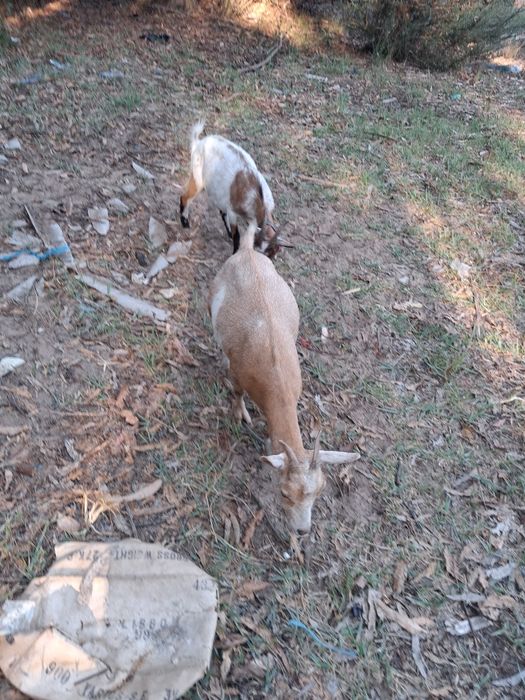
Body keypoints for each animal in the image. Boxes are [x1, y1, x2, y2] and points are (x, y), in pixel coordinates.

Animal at [180, 122, 283, 257]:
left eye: (271, 255)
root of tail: (199, 142)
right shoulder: (233, 212)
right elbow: (237, 235)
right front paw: (235, 252)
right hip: (198, 178)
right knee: (185, 197)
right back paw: (185, 223)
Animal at [209, 236, 358, 534]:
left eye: (319, 491)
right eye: (284, 493)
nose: (302, 530)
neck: (275, 382)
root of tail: (246, 249)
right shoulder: (240, 375)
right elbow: (237, 393)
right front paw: (239, 415)